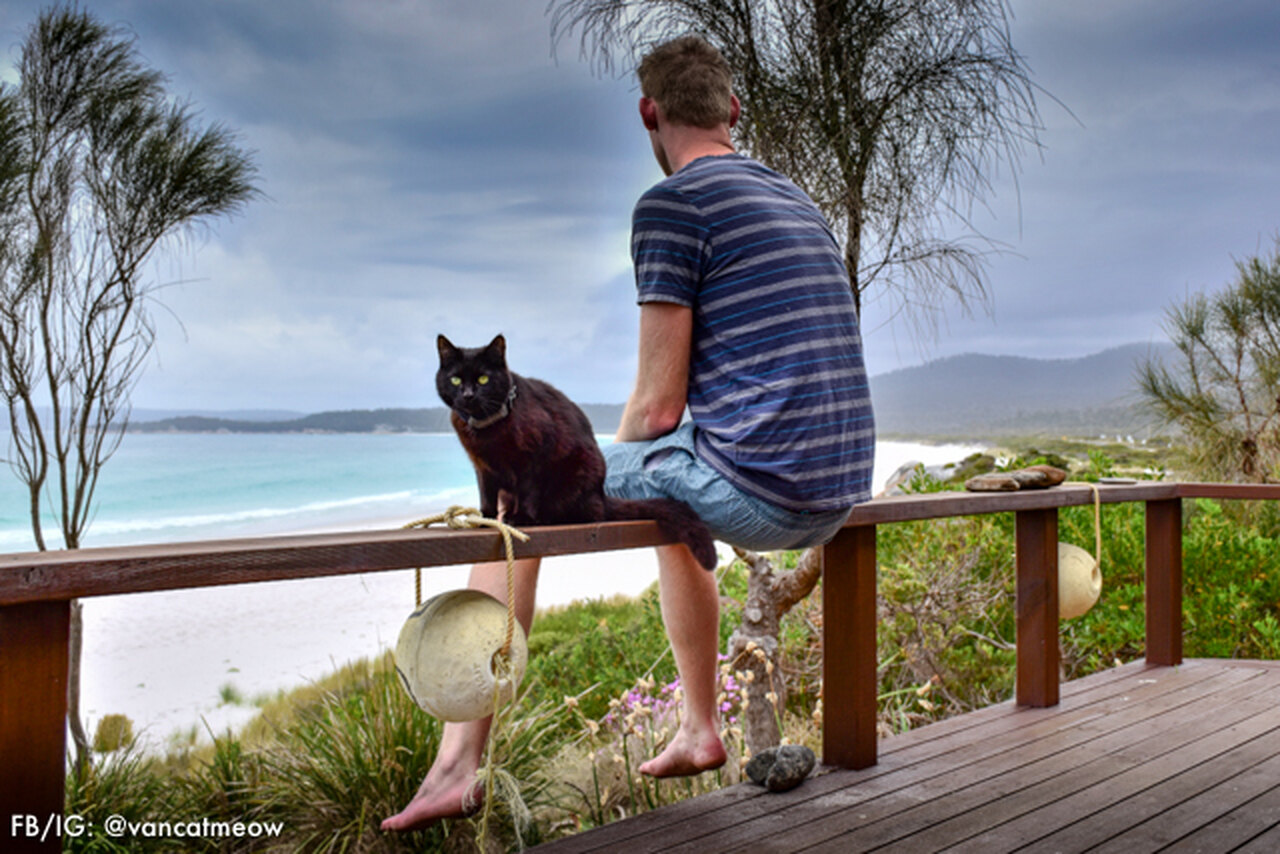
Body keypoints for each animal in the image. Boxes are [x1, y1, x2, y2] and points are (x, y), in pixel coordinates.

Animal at [437, 332, 721, 568]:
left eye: (483, 379)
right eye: (456, 379)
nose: (468, 394)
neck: (486, 427)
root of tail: (600, 494)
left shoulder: (534, 455)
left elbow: (528, 490)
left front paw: (522, 517)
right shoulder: (482, 465)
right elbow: (486, 493)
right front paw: (485, 518)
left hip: (577, 473)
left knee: (582, 512)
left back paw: (543, 517)